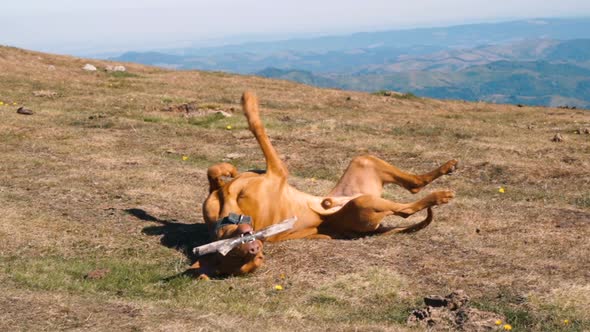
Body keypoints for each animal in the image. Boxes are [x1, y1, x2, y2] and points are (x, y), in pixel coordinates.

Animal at [190, 91, 458, 278]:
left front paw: (227, 169)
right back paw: (440, 196)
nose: (254, 249)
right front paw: (249, 103)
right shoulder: (277, 171)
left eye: (256, 257)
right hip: (365, 202)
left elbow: (214, 172)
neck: (230, 212)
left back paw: (447, 167)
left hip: (363, 164)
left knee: (412, 183)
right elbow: (257, 127)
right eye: (240, 257)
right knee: (407, 208)